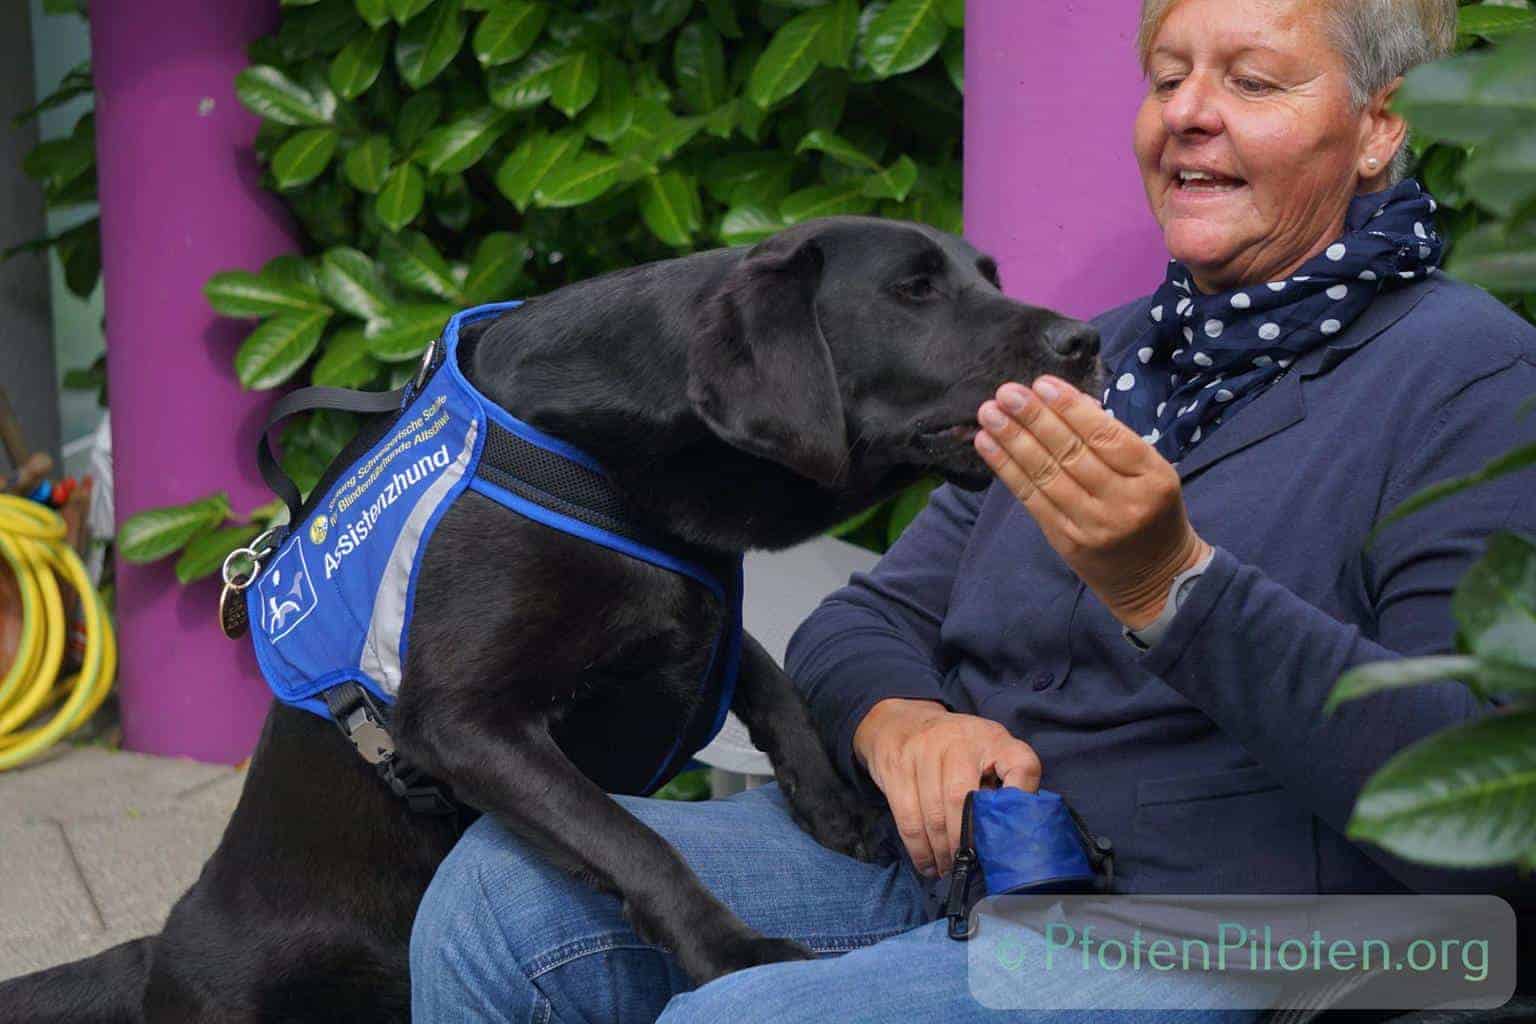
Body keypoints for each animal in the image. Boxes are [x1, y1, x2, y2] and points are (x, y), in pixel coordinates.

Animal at [3, 211, 1105, 1019]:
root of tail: (158, 952)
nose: (1086, 339)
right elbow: (631, 838)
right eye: (914, 290)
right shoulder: (461, 720)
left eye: (986, 273)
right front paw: (731, 947)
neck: (612, 456)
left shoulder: (695, 609)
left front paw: (841, 812)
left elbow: (773, 681)